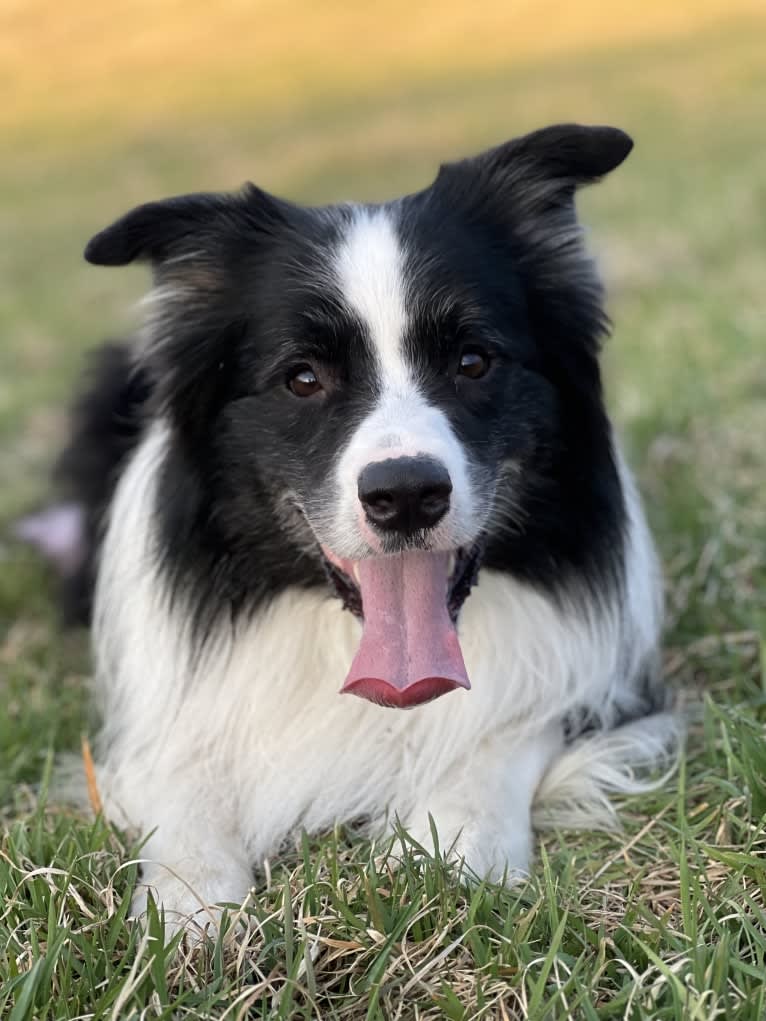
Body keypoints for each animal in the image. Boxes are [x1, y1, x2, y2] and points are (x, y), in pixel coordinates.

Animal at [24, 121, 682, 935]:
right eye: (303, 377)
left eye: (473, 361)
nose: (405, 495)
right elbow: (185, 776)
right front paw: (189, 905)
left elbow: (505, 729)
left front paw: (443, 850)